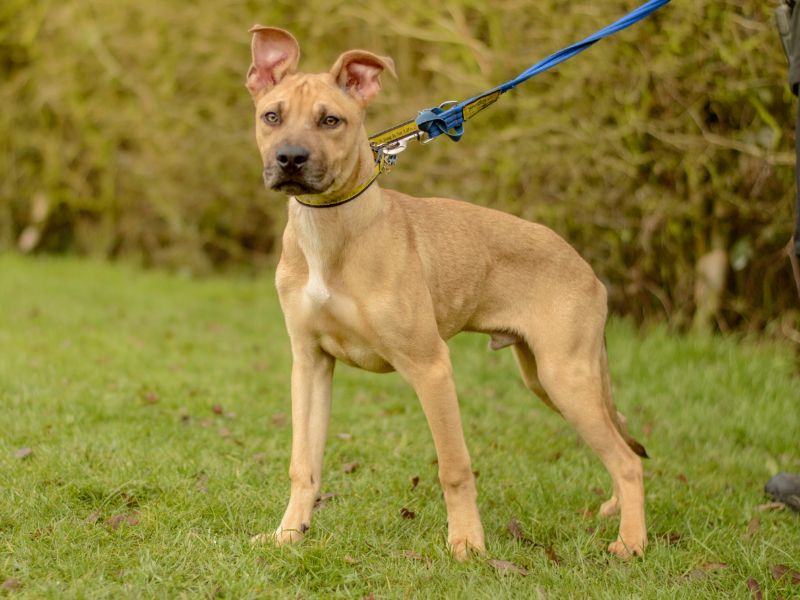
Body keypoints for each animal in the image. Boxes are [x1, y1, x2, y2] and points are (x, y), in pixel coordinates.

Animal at [247, 27, 648, 564]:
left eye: (331, 120)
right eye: (272, 115)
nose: (290, 159)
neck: (332, 234)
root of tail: (587, 270)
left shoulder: (430, 366)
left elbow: (454, 468)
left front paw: (467, 544)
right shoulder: (310, 364)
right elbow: (303, 463)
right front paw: (289, 534)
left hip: (566, 376)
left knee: (628, 460)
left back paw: (631, 542)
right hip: (549, 379)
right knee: (619, 443)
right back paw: (615, 513)